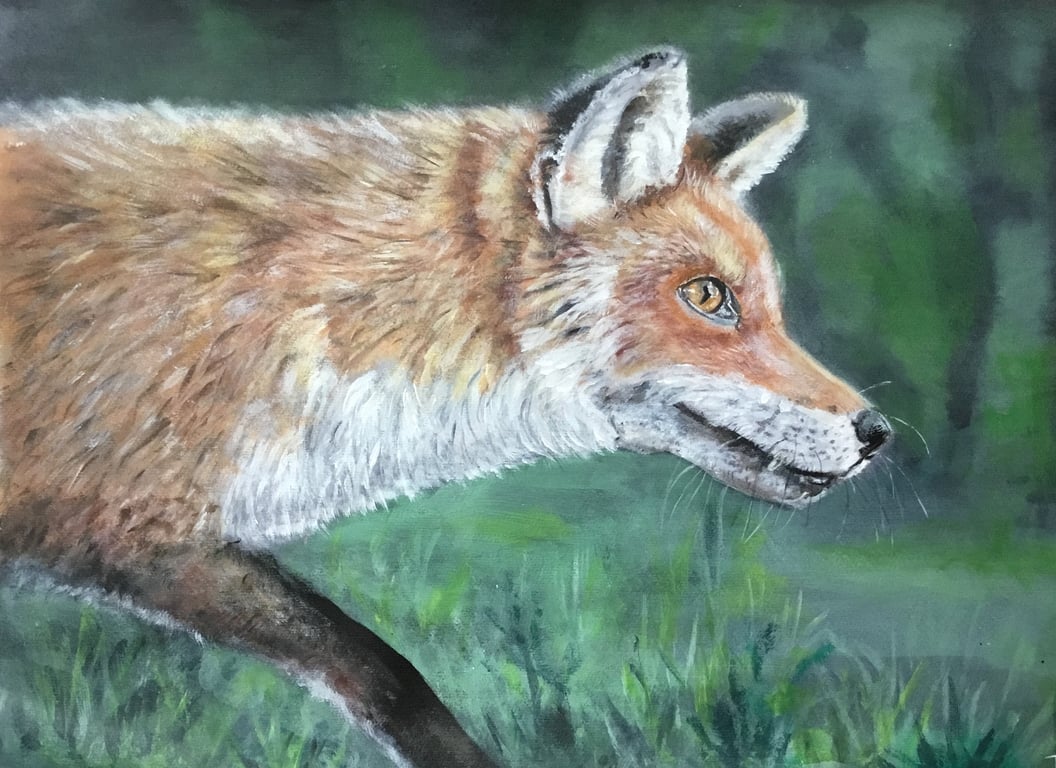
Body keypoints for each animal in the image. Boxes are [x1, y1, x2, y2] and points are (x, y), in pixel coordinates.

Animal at [0, 48, 891, 767]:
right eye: (709, 297)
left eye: (770, 305)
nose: (876, 433)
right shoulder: (125, 521)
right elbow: (384, 670)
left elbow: (383, 675)